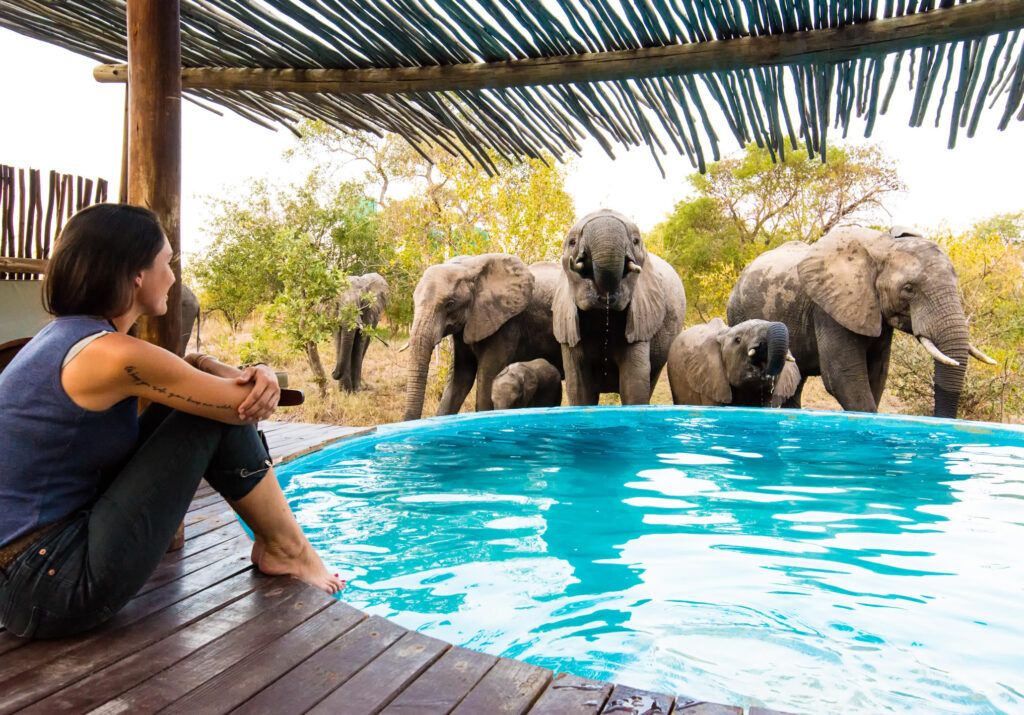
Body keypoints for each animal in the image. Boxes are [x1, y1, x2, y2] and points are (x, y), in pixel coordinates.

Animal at [727, 226, 996, 418]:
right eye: (909, 289)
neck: (883, 247)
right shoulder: (829, 308)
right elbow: (844, 377)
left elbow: (877, 374)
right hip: (739, 313)